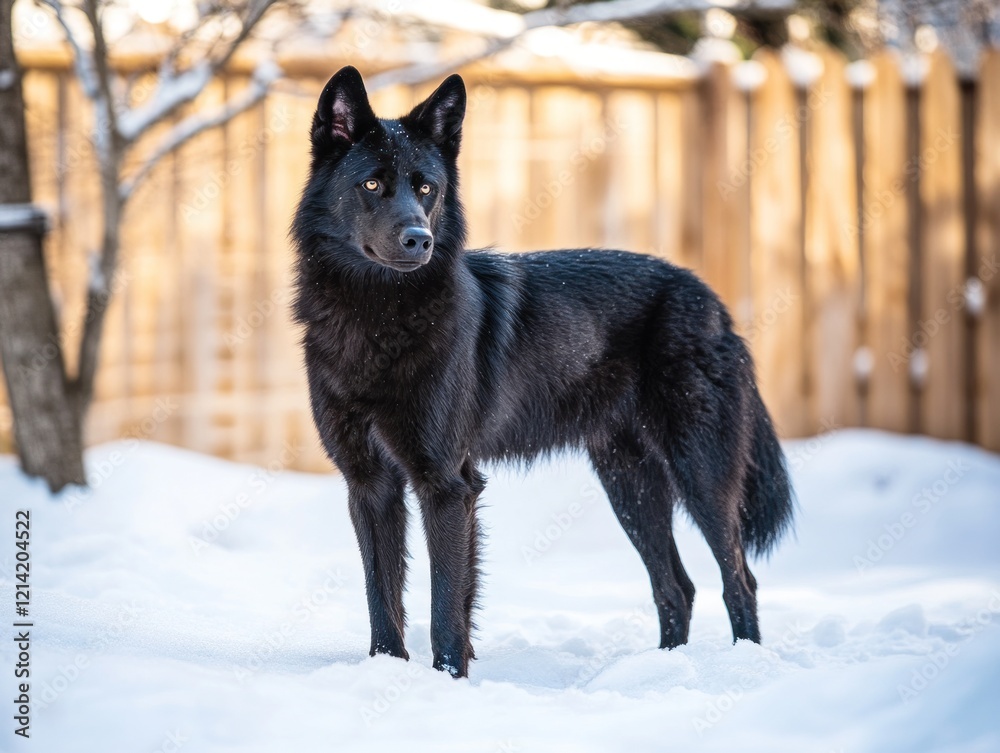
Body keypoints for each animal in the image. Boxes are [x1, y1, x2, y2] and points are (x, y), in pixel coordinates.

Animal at [292, 66, 793, 678]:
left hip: (699, 474)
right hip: (630, 485)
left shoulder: (447, 484)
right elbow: (381, 597)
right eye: (371, 185)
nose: (419, 239)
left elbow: (445, 606)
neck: (378, 317)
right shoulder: (369, 486)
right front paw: (387, 670)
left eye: (427, 189)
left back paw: (744, 665)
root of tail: (711, 300)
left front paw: (449, 680)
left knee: (738, 580)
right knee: (677, 587)